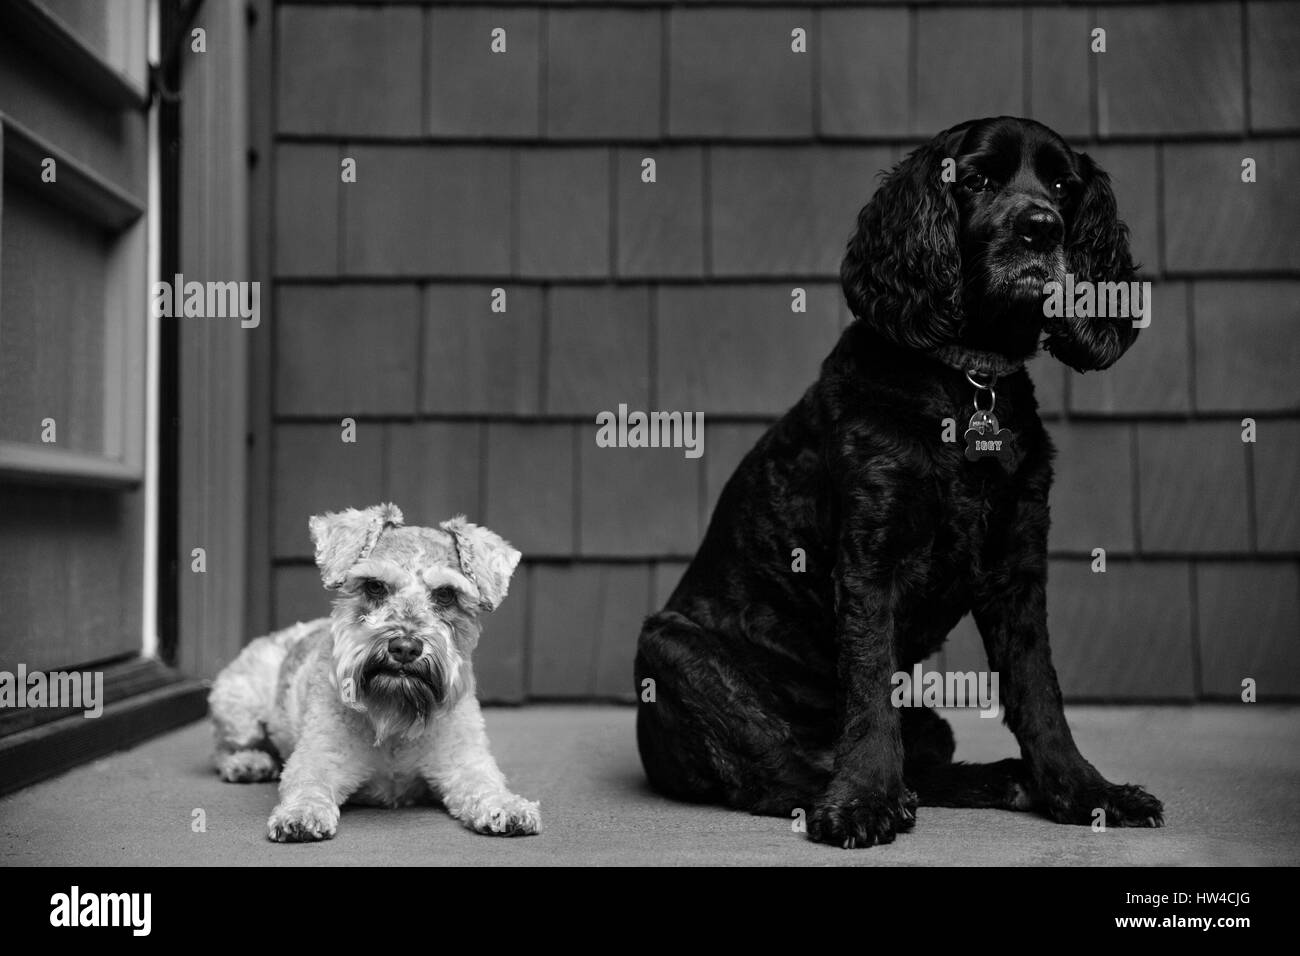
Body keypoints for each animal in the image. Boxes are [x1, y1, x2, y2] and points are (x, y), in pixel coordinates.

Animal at [634, 117, 1164, 842]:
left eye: (1062, 186)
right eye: (977, 180)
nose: (1041, 228)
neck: (966, 382)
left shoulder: (1018, 564)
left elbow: (1039, 691)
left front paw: (1087, 792)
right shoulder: (869, 556)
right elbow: (868, 685)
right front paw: (862, 800)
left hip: (930, 721)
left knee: (921, 765)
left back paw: (1002, 779)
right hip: (670, 650)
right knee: (772, 777)